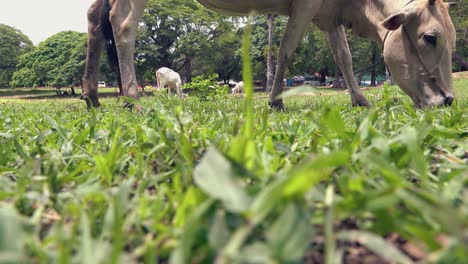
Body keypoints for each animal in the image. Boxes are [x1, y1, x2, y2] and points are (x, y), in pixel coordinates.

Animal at [82, 0, 456, 109]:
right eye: (429, 38)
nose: (448, 100)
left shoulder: (327, 15)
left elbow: (344, 57)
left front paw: (359, 99)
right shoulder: (304, 7)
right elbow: (286, 51)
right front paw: (275, 100)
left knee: (95, 17)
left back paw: (91, 95)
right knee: (122, 24)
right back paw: (132, 98)